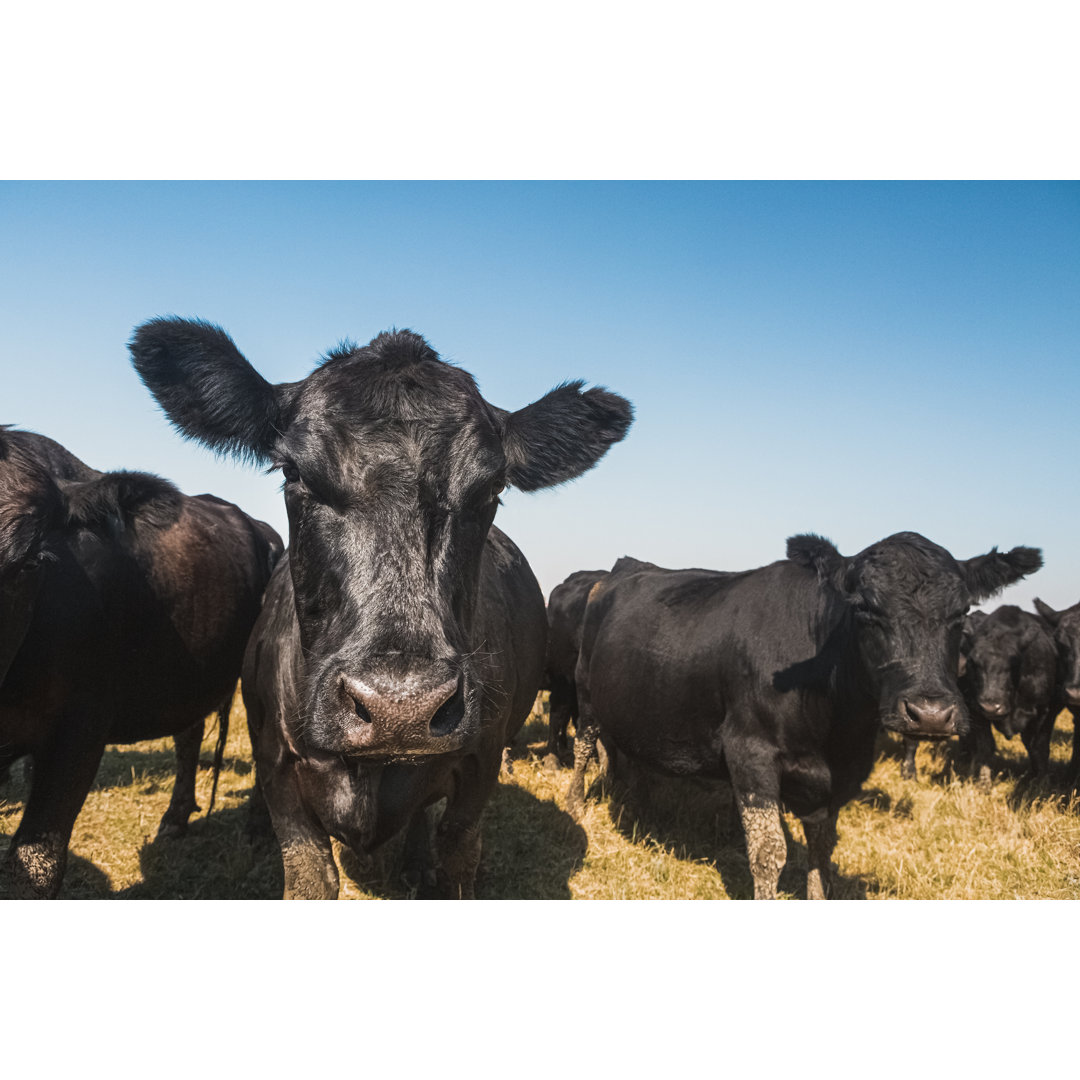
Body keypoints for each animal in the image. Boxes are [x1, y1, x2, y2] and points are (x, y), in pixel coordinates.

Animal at [0, 425, 282, 898]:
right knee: (189, 736)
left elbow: (36, 864)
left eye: (29, 563)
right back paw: (176, 817)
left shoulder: (82, 726)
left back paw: (260, 828)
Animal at [570, 535, 1041, 898]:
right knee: (582, 745)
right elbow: (768, 853)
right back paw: (575, 803)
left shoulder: (846, 769)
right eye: (865, 609)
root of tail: (622, 567)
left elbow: (821, 850)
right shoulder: (749, 753)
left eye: (962, 613)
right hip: (585, 692)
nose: (930, 714)